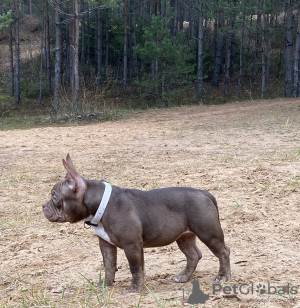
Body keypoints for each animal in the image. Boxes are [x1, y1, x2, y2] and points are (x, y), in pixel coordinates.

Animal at [42, 155, 231, 292]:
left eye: (55, 197)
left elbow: (135, 267)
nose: (43, 205)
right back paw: (183, 276)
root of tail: (205, 193)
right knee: (193, 255)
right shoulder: (106, 245)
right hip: (184, 236)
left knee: (223, 252)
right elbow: (109, 265)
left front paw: (134, 288)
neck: (101, 203)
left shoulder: (131, 245)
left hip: (208, 232)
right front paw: (105, 285)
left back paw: (223, 277)